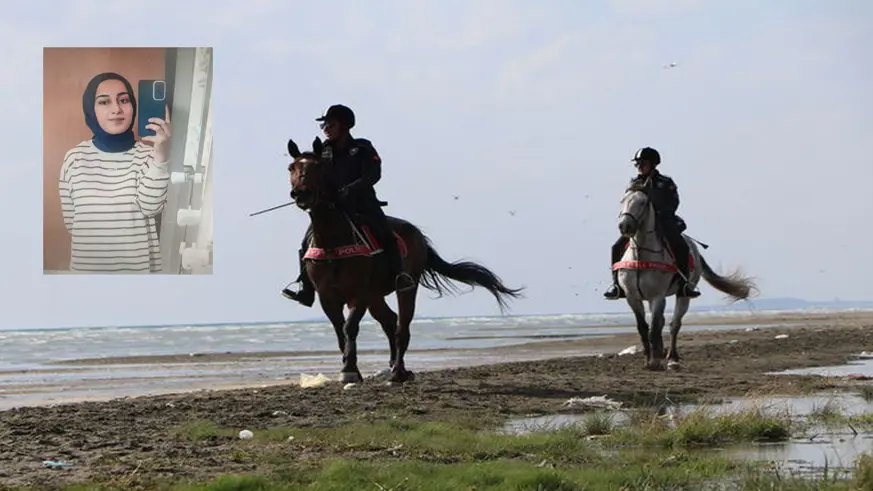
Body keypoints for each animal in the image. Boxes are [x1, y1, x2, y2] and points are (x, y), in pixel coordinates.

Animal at [286, 137, 524, 384]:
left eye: (318, 166)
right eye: (291, 167)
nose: (301, 194)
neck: (333, 241)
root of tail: (417, 234)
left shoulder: (358, 294)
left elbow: (350, 327)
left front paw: (349, 370)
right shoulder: (327, 297)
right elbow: (339, 330)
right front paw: (349, 367)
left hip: (405, 288)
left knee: (402, 327)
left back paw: (398, 372)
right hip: (375, 296)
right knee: (390, 321)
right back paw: (392, 365)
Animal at [612, 188, 756, 372]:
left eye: (643, 202)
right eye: (622, 200)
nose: (625, 226)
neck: (641, 256)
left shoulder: (657, 297)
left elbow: (654, 329)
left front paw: (655, 361)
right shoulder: (633, 297)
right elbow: (643, 328)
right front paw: (647, 360)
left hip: (684, 295)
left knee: (674, 324)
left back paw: (672, 357)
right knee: (662, 323)